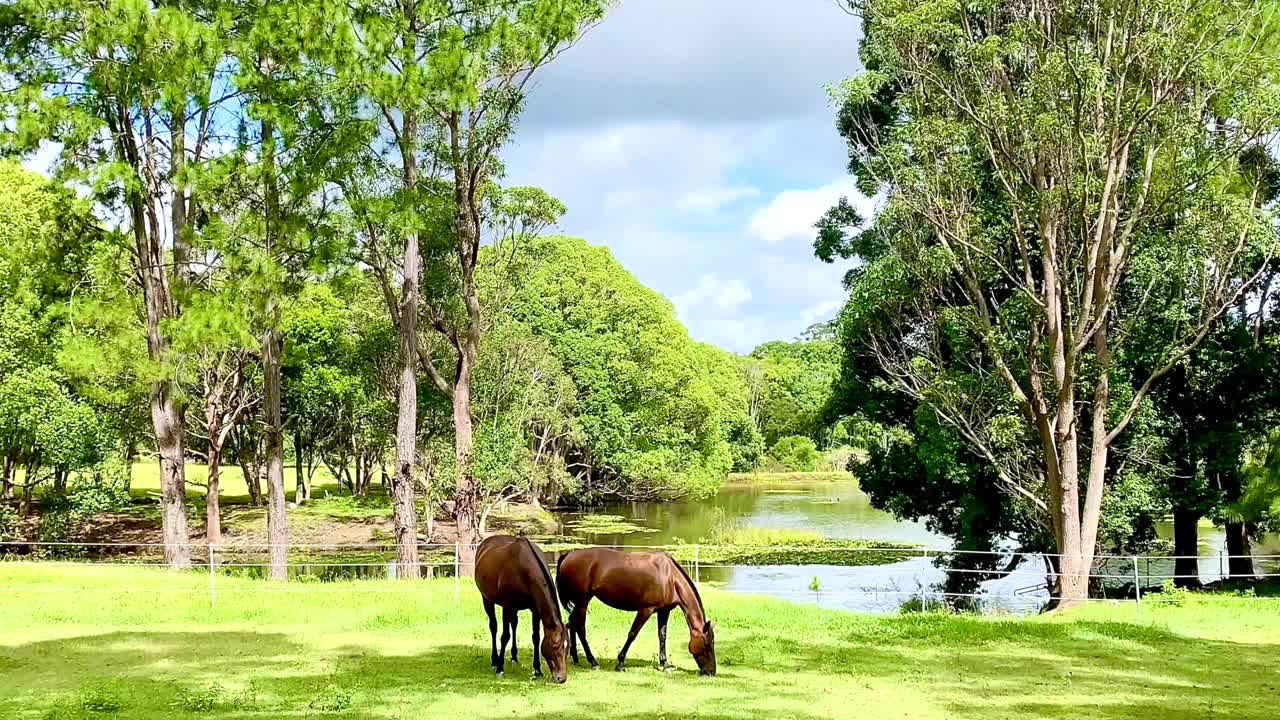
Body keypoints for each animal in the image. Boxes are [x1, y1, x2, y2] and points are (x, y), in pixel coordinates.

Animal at [473, 532, 568, 676]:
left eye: (568, 648)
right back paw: (494, 660)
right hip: (487, 599)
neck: (525, 569)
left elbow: (536, 637)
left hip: (514, 609)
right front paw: (500, 667)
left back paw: (514, 657)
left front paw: (537, 669)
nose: (561, 678)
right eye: (555, 646)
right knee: (493, 627)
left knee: (514, 625)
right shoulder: (507, 606)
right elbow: (505, 636)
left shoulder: (535, 609)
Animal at [558, 545, 716, 676]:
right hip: (583, 601)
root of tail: (568, 555)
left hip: (579, 603)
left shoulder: (663, 611)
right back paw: (593, 662)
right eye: (708, 644)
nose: (711, 672)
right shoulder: (646, 610)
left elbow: (662, 636)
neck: (669, 577)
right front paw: (620, 663)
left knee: (571, 623)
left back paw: (576, 658)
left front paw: (665, 664)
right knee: (580, 628)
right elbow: (632, 634)